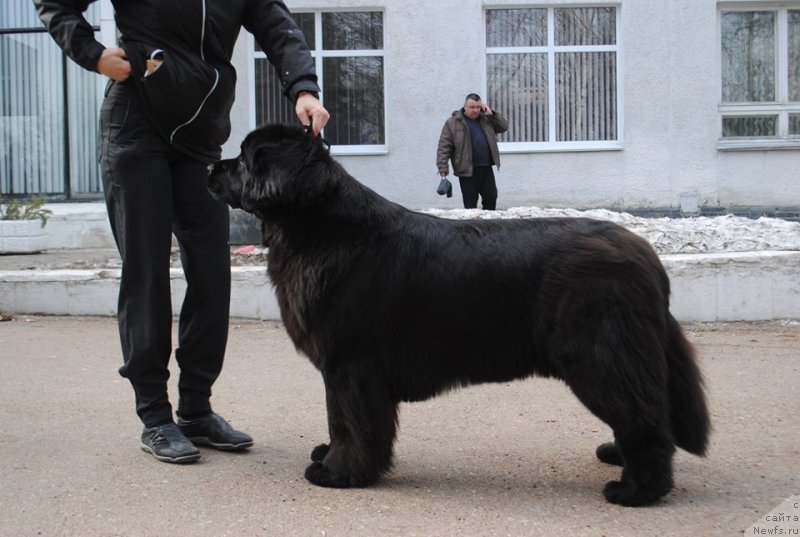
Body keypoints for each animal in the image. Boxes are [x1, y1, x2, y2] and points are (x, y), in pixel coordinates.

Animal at [209, 123, 708, 504]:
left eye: (247, 157)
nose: (212, 166)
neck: (321, 231)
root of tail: (646, 255)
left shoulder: (349, 364)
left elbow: (349, 420)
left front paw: (338, 472)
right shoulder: (346, 369)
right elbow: (344, 419)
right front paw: (331, 455)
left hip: (600, 356)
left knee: (644, 416)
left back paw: (637, 489)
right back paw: (619, 457)